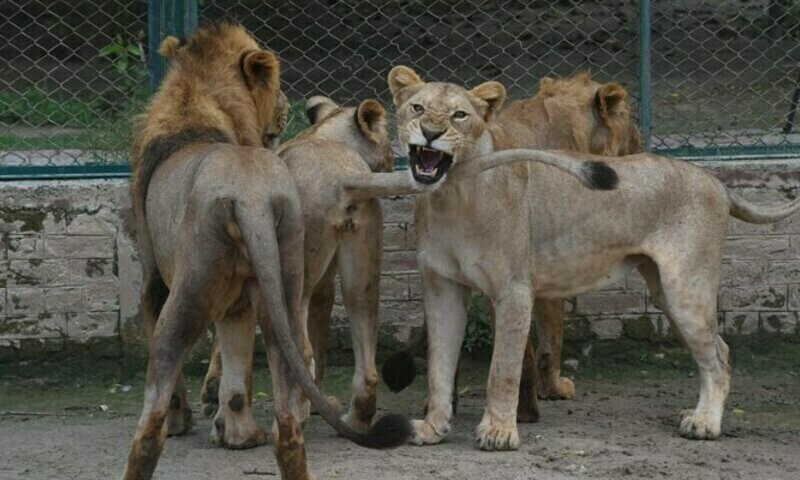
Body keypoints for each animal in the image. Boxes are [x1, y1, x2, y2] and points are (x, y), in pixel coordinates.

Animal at [122, 23, 410, 480]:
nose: (393, 164)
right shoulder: (309, 284)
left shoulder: (160, 282)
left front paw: (199, 413)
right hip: (352, 272)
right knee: (357, 353)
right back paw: (346, 417)